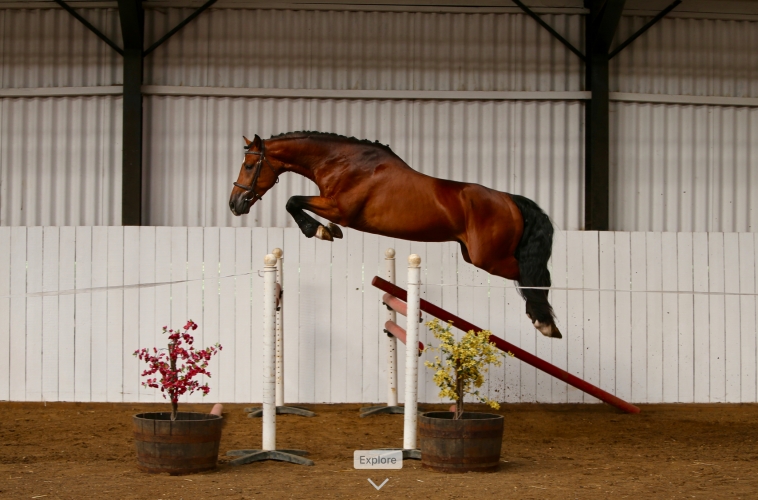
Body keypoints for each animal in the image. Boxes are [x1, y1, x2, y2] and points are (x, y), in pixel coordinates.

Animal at [229, 132, 561, 339]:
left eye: (250, 165)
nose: (235, 204)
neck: (341, 163)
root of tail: (510, 199)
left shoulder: (340, 209)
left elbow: (293, 200)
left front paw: (320, 231)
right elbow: (296, 203)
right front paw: (325, 230)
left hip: (488, 258)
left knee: (534, 277)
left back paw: (544, 322)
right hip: (475, 255)